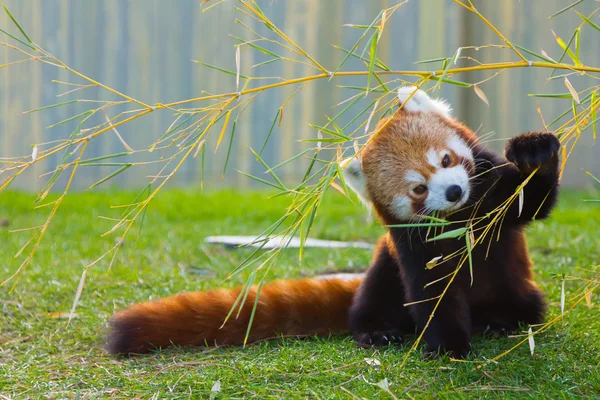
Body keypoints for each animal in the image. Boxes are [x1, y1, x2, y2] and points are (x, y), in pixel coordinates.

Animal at [105, 87, 560, 356]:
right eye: (417, 189)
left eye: (446, 160)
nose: (452, 192)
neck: (460, 218)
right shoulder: (412, 246)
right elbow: (433, 294)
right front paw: (447, 346)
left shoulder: (492, 198)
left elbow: (532, 203)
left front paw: (535, 152)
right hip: (383, 268)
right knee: (373, 298)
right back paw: (377, 331)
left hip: (521, 290)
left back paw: (500, 322)